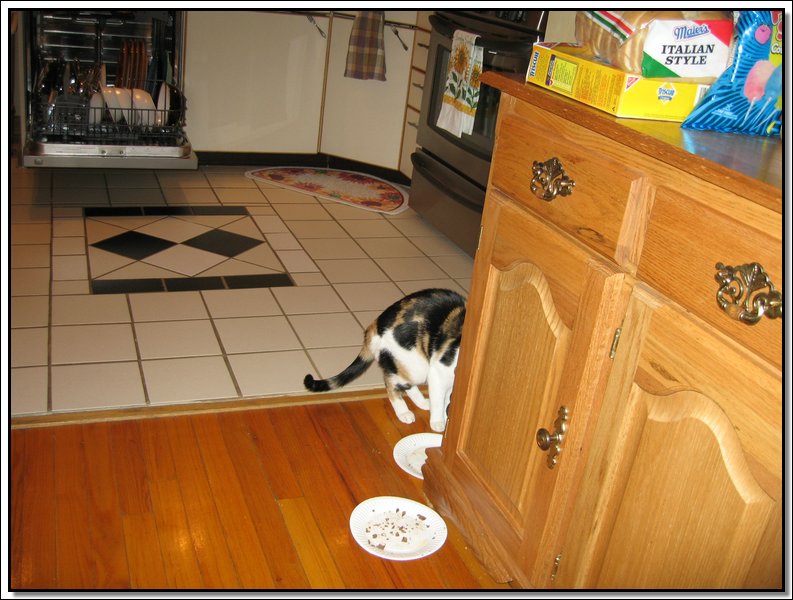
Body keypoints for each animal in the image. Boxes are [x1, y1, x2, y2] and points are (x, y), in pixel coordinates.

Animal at [303, 288, 466, 432]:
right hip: (416, 365)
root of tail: (373, 326)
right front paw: (439, 422)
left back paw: (423, 403)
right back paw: (404, 412)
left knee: (405, 383)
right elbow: (439, 399)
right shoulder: (439, 371)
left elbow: (447, 398)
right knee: (391, 382)